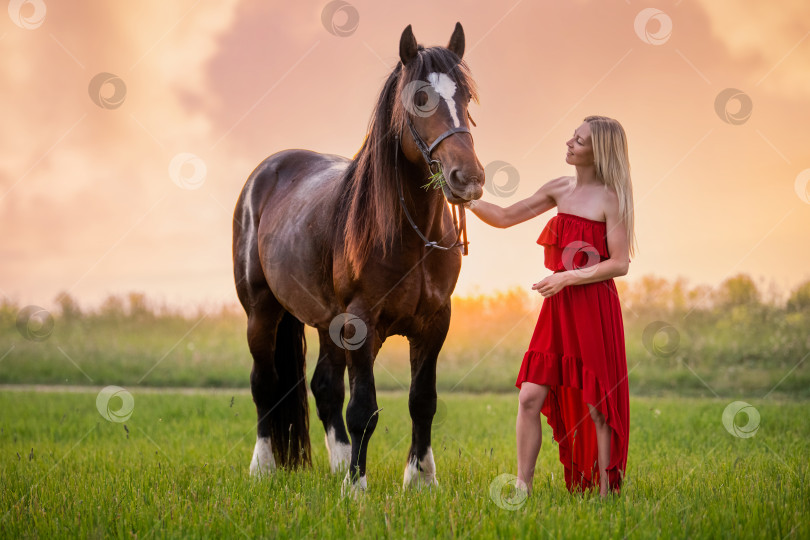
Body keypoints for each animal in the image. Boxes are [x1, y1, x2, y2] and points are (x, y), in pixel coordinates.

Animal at [230, 22, 482, 494]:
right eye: (420, 99)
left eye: (466, 98)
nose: (468, 178)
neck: (410, 235)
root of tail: (267, 172)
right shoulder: (361, 323)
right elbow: (363, 409)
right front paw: (357, 487)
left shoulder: (435, 322)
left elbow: (422, 401)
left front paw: (421, 479)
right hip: (261, 311)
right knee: (265, 384)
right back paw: (264, 467)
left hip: (328, 322)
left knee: (324, 387)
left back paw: (337, 463)